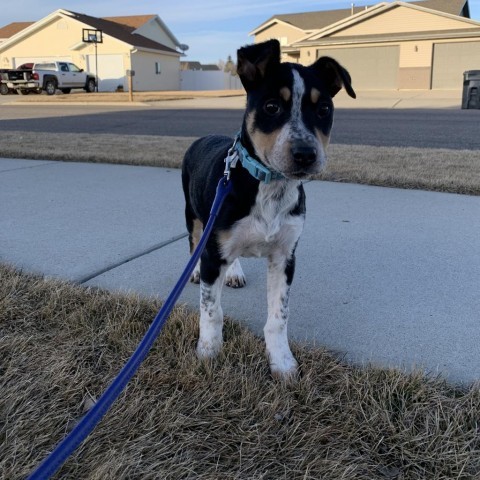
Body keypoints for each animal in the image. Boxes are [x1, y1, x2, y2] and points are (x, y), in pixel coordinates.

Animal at [182, 38, 354, 378]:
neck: (270, 186)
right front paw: (208, 352)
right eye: (272, 107)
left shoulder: (284, 257)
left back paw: (234, 272)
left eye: (324, 109)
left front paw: (282, 362)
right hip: (192, 214)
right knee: (194, 242)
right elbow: (211, 310)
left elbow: (279, 317)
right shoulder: (213, 254)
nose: (306, 154)